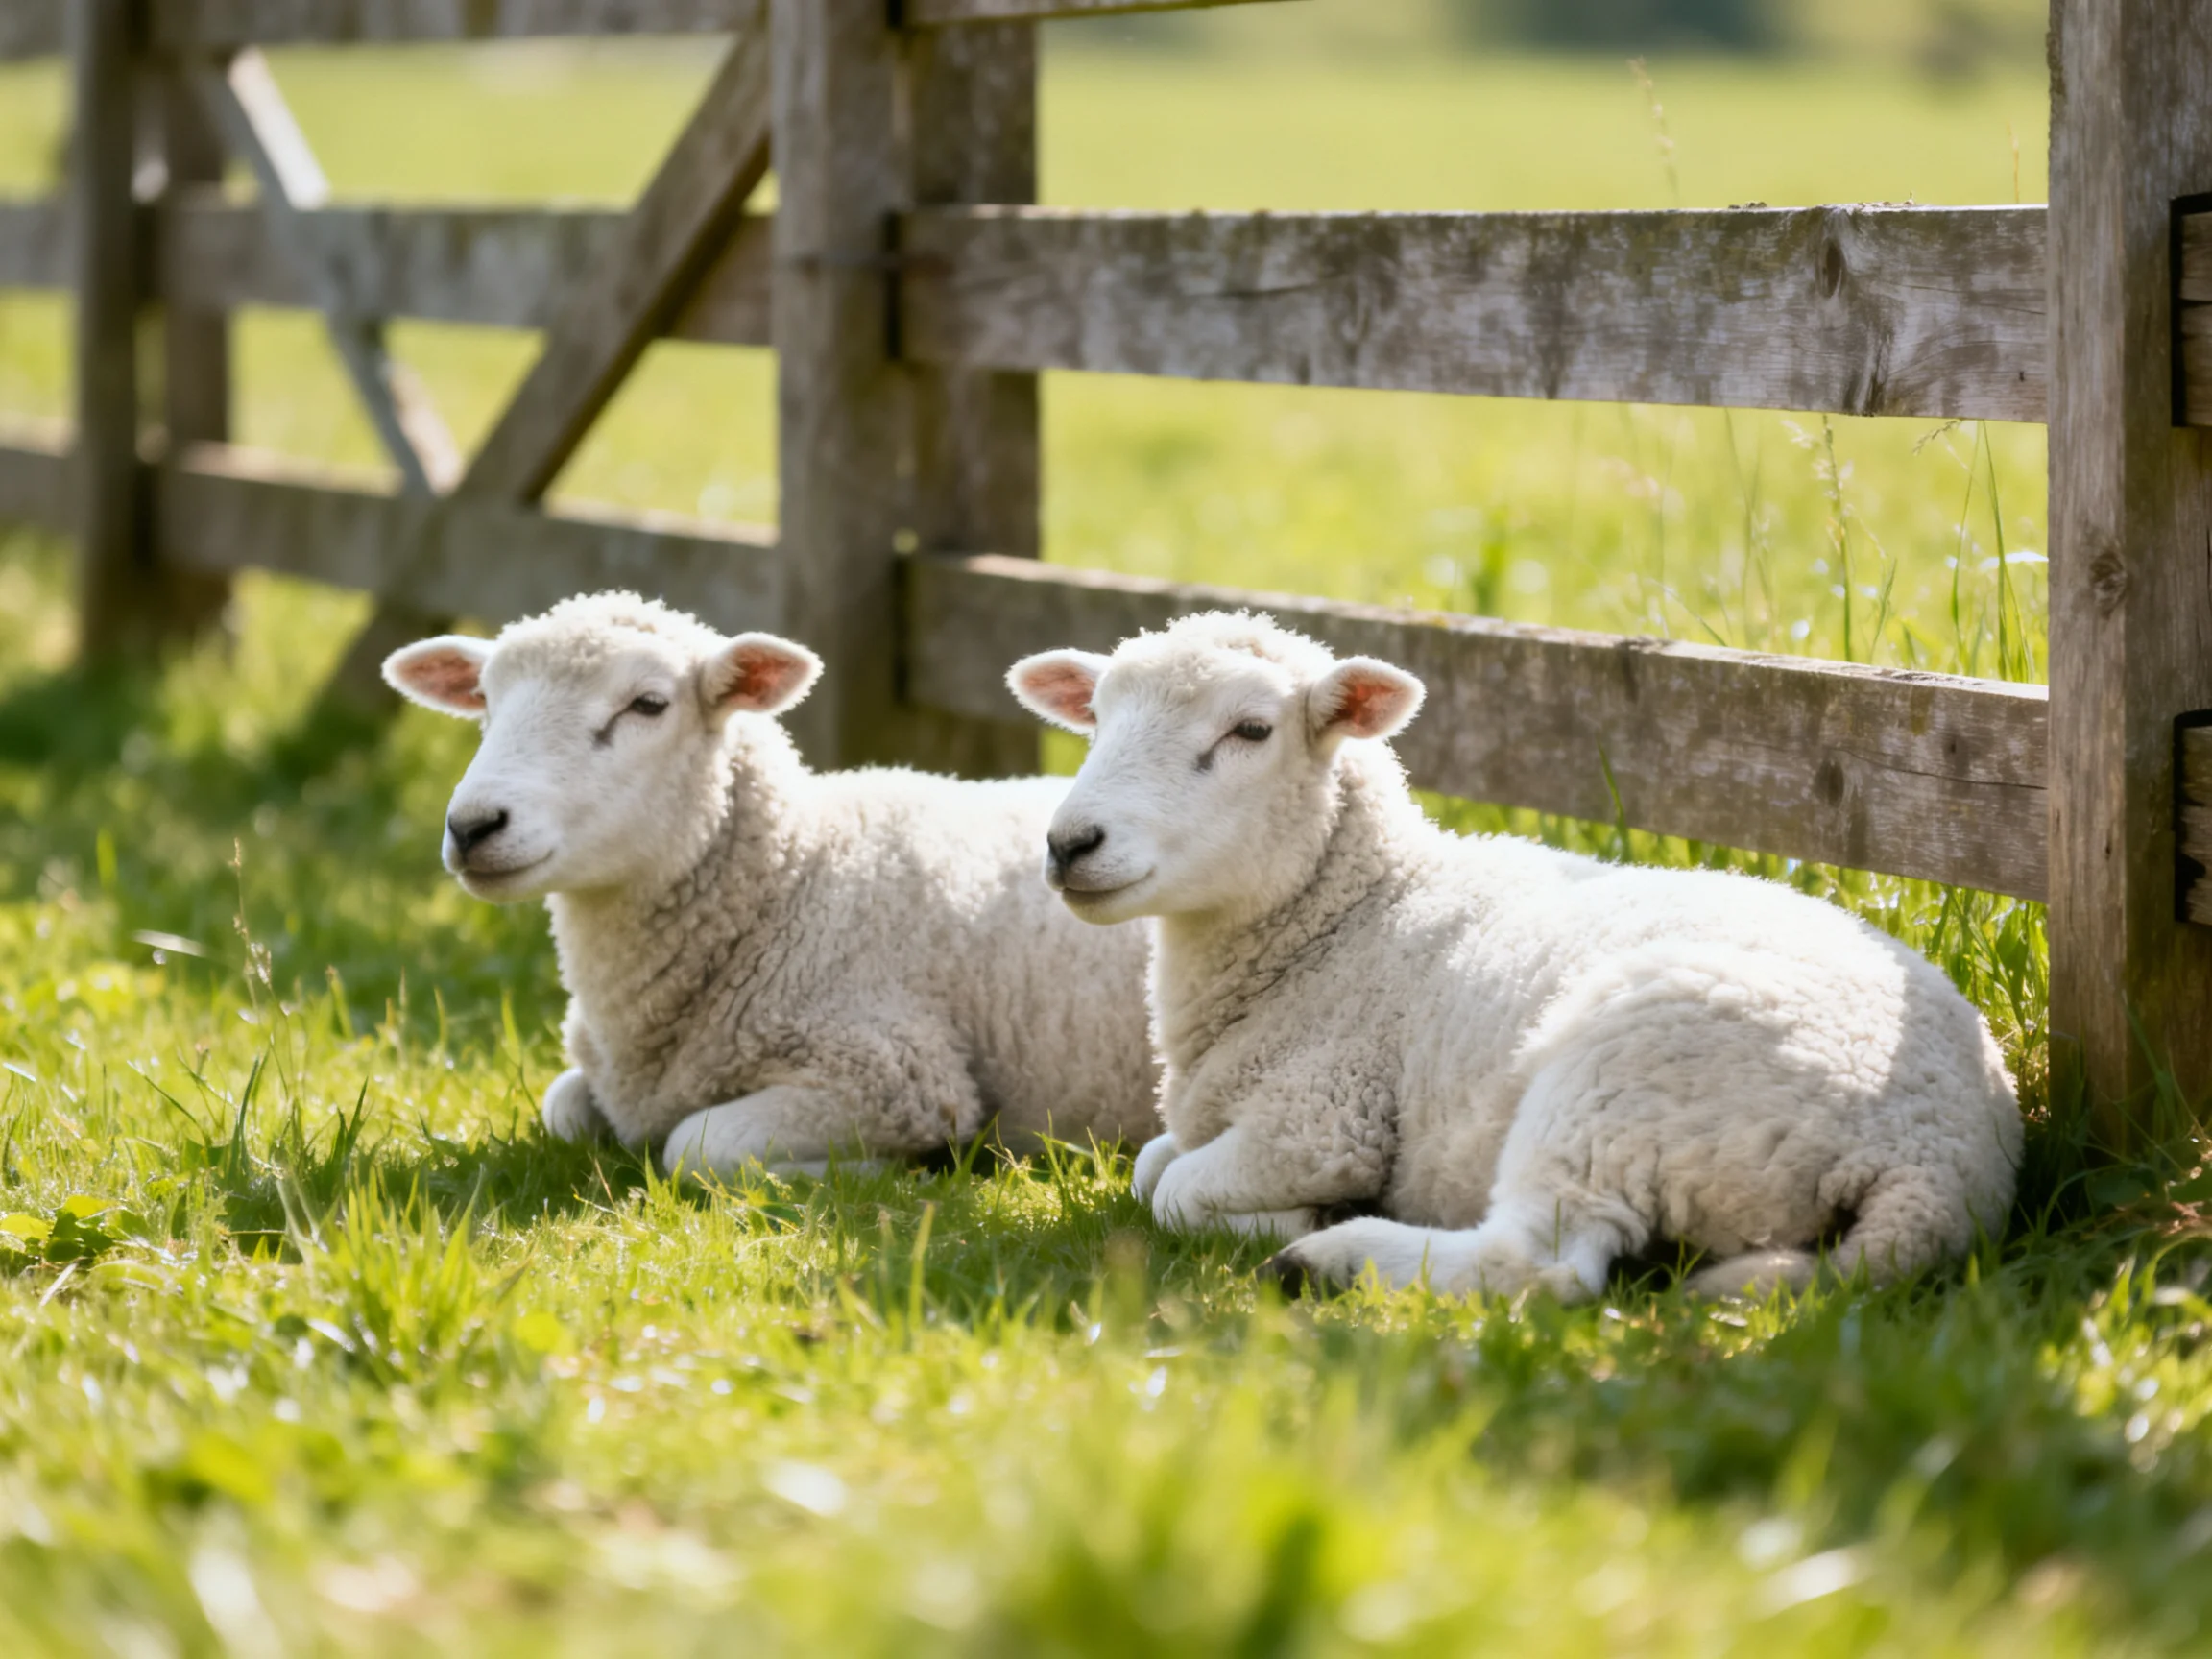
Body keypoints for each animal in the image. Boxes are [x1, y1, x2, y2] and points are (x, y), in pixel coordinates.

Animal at [382, 592, 1158, 1181]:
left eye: (648, 704)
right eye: (484, 701)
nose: (473, 826)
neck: (791, 877)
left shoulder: (895, 1074)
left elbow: (693, 1146)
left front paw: (877, 1171)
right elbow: (564, 1107)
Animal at [1006, 611, 2022, 1301]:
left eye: (1250, 731)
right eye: (1095, 716)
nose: (1069, 842)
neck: (1350, 921)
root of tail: (1937, 1166)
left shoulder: (1320, 1117)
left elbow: (1170, 1189)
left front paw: (1298, 1215)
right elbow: (1150, 1163)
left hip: (1624, 1079)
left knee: (1543, 1264)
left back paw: (1330, 1254)